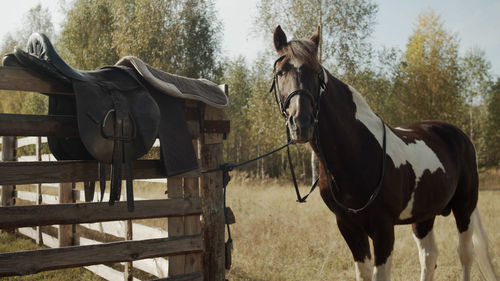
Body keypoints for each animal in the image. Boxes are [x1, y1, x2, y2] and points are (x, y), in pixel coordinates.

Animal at [272, 24, 498, 280]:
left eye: (317, 73)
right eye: (280, 72)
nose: (301, 123)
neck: (357, 154)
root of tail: (460, 136)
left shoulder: (384, 227)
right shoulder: (348, 227)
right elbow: (364, 273)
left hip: (465, 207)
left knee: (465, 253)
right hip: (424, 216)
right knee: (429, 256)